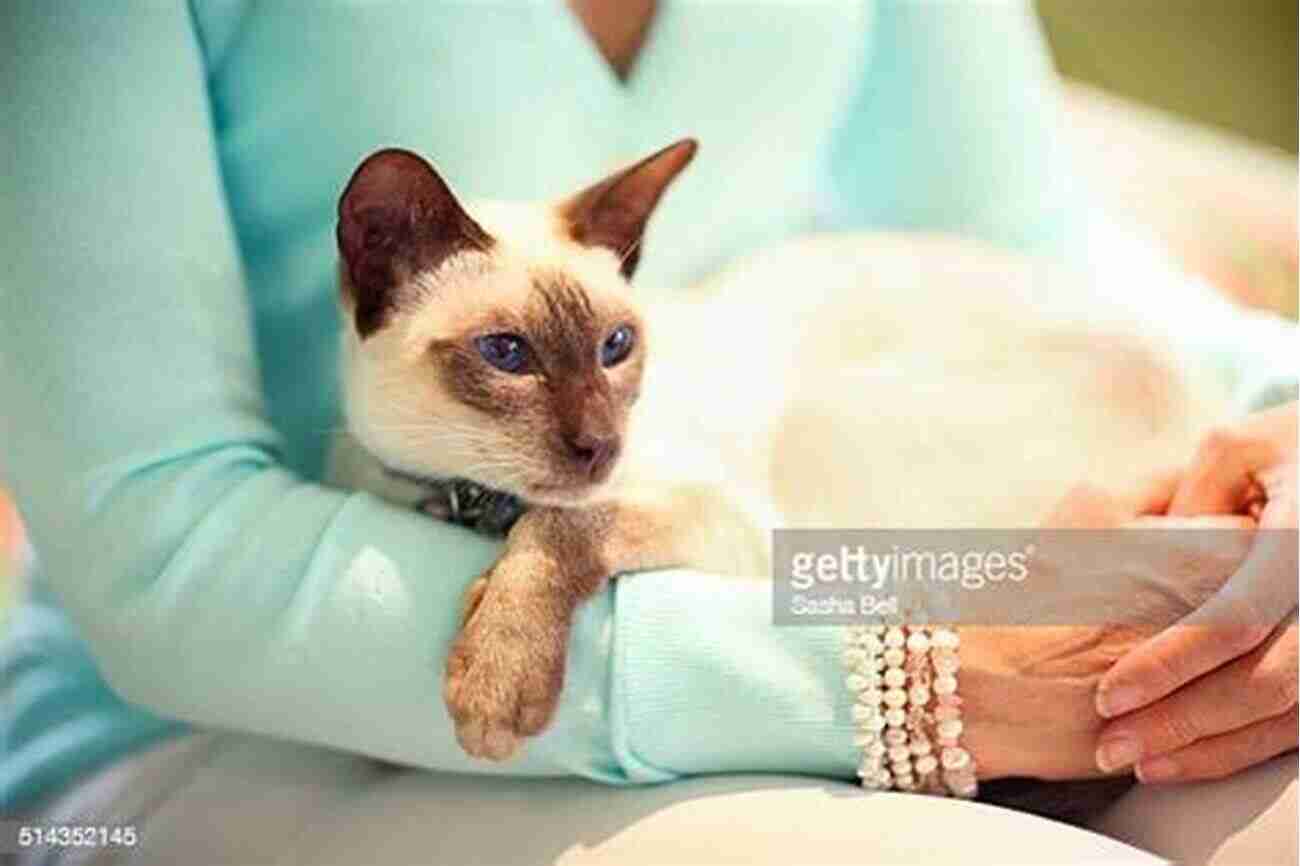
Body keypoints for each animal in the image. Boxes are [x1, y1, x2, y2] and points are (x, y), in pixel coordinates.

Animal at [330, 138, 1222, 764]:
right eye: (508, 354)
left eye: (616, 346)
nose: (601, 446)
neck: (468, 502)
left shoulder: (729, 523)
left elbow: (559, 529)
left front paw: (494, 680)